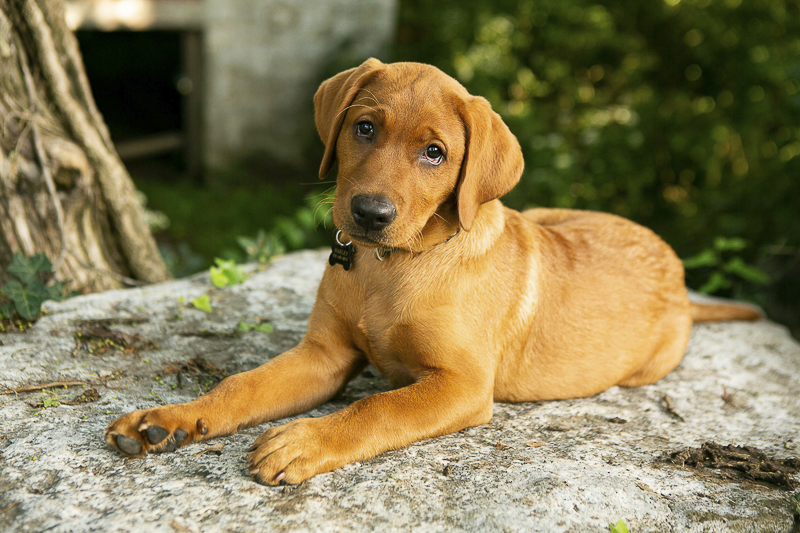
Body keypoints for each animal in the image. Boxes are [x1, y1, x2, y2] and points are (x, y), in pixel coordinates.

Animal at [103, 58, 760, 482]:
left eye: (435, 153)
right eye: (364, 127)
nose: (369, 213)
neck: (388, 267)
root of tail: (682, 282)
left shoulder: (461, 384)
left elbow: (376, 407)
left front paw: (307, 439)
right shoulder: (324, 356)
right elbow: (241, 385)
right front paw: (167, 420)